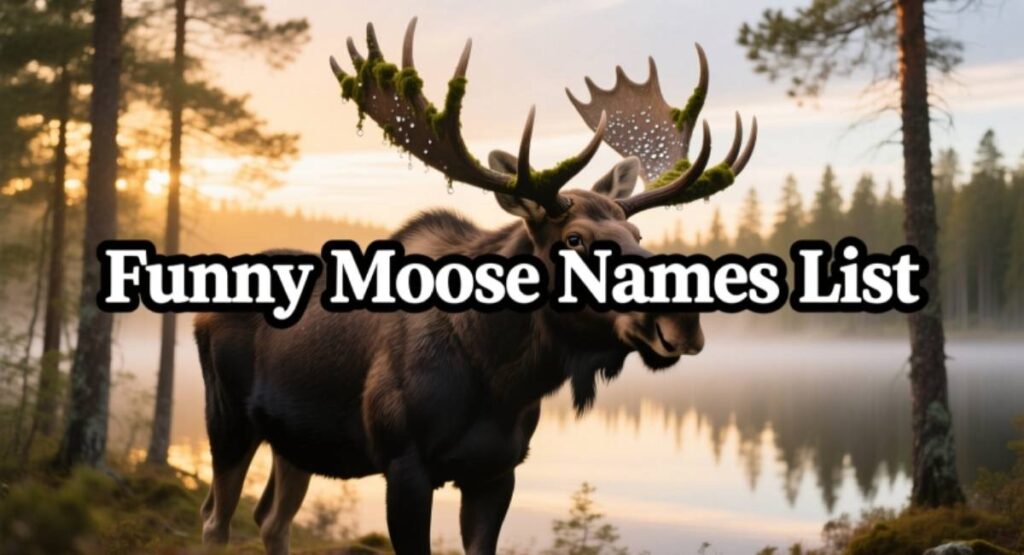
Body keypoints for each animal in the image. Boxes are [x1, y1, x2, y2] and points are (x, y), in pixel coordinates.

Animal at [194, 17, 756, 555]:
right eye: (574, 238)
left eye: (638, 235)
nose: (682, 317)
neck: (500, 377)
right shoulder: (404, 464)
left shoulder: (496, 470)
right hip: (227, 418)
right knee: (215, 521)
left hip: (297, 441)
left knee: (271, 520)